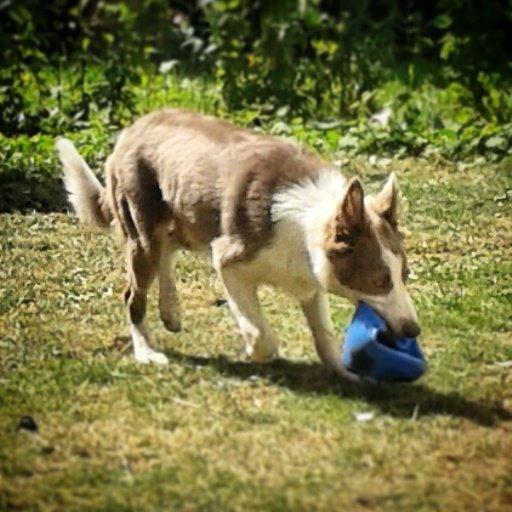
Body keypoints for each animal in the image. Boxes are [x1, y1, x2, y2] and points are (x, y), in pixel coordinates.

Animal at [56, 109, 420, 380]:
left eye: (404, 276)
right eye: (378, 282)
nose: (413, 330)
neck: (305, 223)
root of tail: (131, 130)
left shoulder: (310, 282)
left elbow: (324, 333)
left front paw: (345, 372)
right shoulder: (229, 261)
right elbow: (261, 335)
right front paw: (251, 352)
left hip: (187, 217)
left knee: (167, 252)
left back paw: (171, 310)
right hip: (142, 231)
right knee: (133, 293)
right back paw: (146, 351)